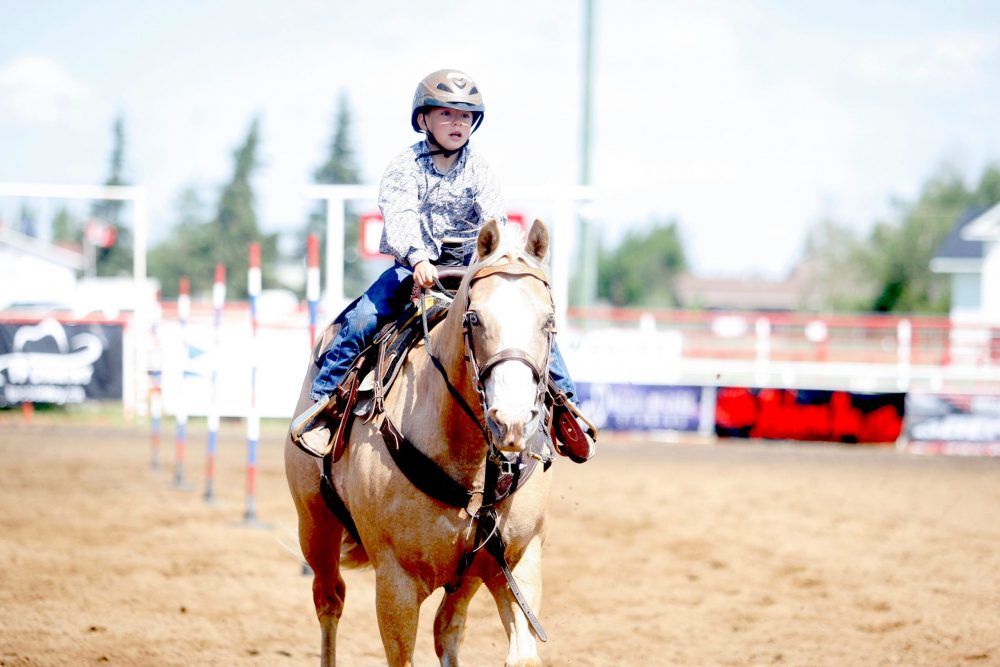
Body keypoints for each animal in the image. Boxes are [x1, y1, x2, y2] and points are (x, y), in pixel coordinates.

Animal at [286, 220, 560, 667]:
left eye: (549, 321)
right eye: (473, 318)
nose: (512, 422)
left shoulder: (517, 561)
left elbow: (521, 655)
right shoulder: (395, 583)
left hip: (468, 577)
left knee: (447, 628)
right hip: (315, 527)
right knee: (329, 601)